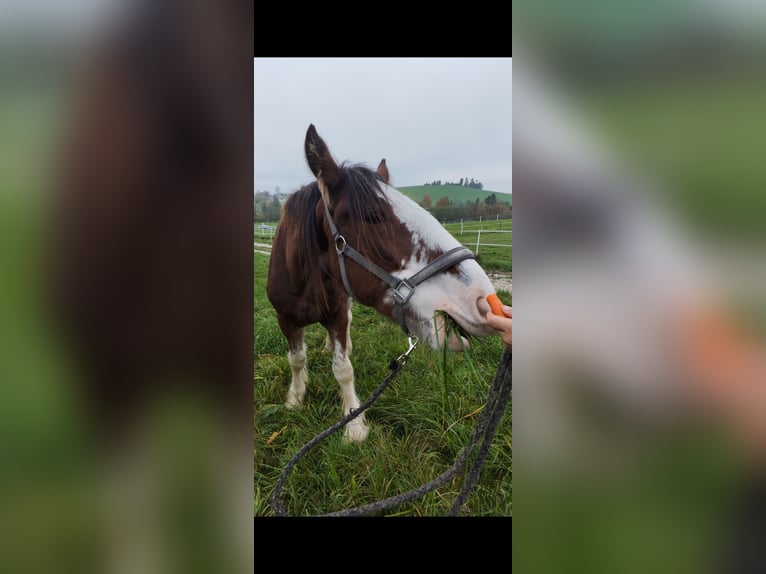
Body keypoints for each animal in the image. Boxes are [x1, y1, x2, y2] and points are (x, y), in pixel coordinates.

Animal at [268, 124, 498, 444]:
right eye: (374, 216)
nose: (482, 299)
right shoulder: (285, 319)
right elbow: (297, 360)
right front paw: (295, 398)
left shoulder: (337, 315)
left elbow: (343, 368)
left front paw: (353, 424)